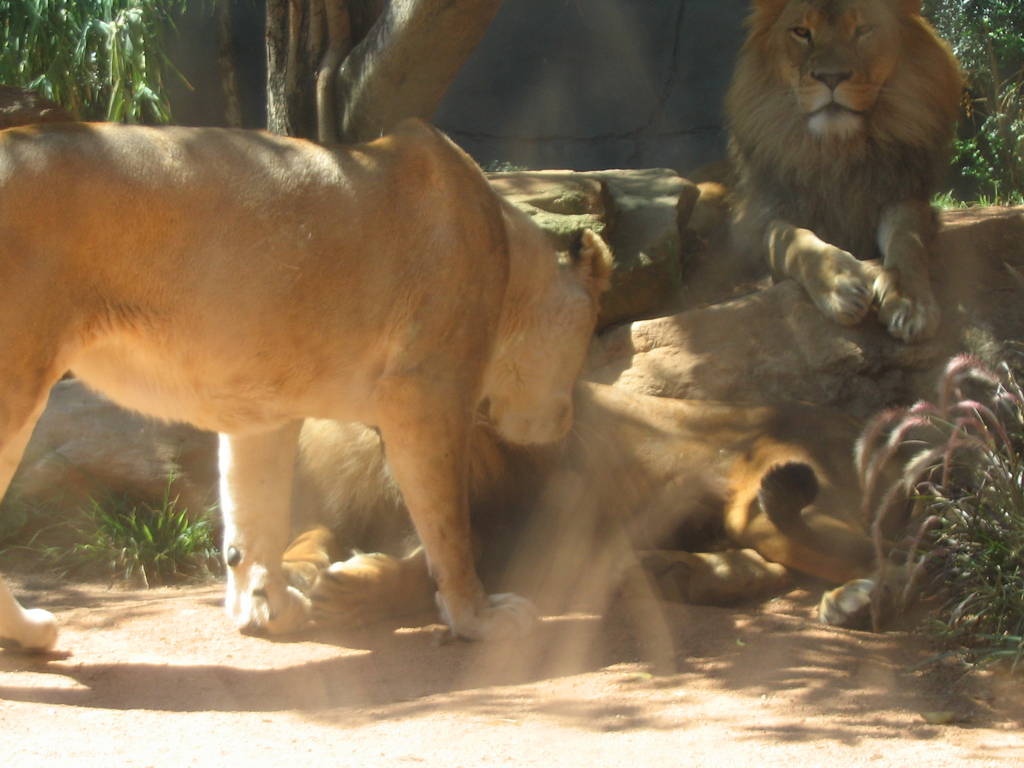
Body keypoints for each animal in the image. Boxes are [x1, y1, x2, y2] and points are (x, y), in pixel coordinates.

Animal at [0, 118, 611, 651]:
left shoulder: (259, 411)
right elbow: (451, 531)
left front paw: (264, 607)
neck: (510, 260)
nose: (565, 422)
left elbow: (253, 519)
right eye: (587, 339)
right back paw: (30, 632)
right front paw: (478, 618)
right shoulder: (426, 395)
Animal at [278, 381, 898, 636]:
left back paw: (853, 602)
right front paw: (295, 569)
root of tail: (854, 421)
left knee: (885, 557)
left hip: (773, 507)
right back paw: (672, 572)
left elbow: (438, 572)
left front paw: (351, 592)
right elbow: (310, 533)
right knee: (767, 567)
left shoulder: (520, 528)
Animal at [724, 0, 962, 343]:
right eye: (802, 32)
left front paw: (910, 303)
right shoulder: (758, 222)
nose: (831, 76)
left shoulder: (904, 196)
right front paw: (839, 284)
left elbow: (908, 240)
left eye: (862, 30)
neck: (837, 150)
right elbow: (790, 238)